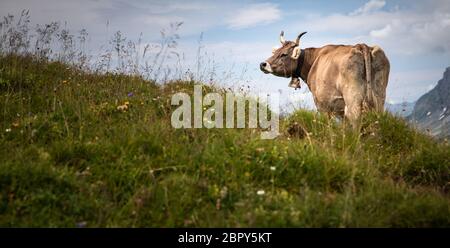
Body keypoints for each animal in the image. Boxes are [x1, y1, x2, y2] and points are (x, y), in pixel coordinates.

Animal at [260, 31, 390, 127]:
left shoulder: (321, 104)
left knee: (354, 117)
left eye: (284, 54)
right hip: (379, 96)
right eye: (276, 52)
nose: (263, 64)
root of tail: (361, 45)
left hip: (352, 97)